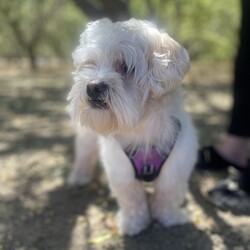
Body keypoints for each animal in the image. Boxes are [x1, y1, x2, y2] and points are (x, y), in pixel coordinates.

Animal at [66, 18, 197, 235]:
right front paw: (134, 224)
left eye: (125, 66)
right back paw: (80, 176)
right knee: (84, 154)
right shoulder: (122, 171)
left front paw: (169, 217)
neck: (142, 126)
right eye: (90, 64)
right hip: (86, 137)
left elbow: (167, 195)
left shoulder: (175, 168)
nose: (92, 86)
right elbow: (131, 199)